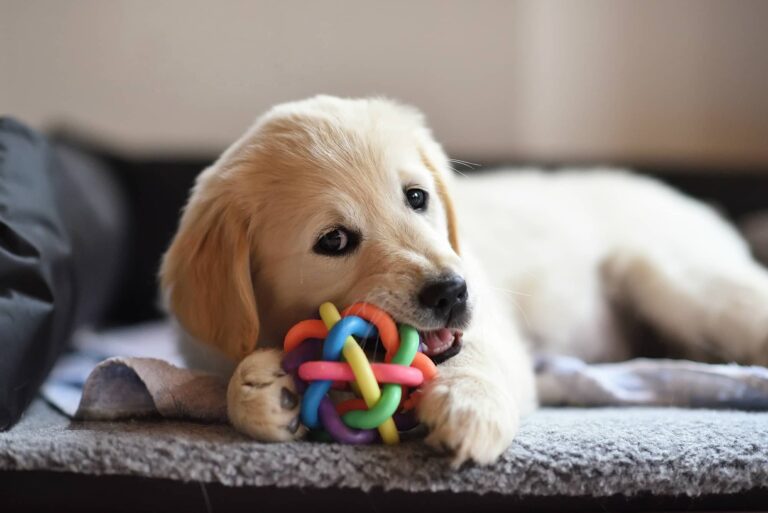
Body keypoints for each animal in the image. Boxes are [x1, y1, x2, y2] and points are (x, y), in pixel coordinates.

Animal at [162, 93, 768, 464]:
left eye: (416, 197)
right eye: (333, 241)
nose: (453, 293)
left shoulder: (493, 329)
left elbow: (474, 356)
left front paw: (467, 407)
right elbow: (229, 380)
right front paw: (262, 388)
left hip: (673, 280)